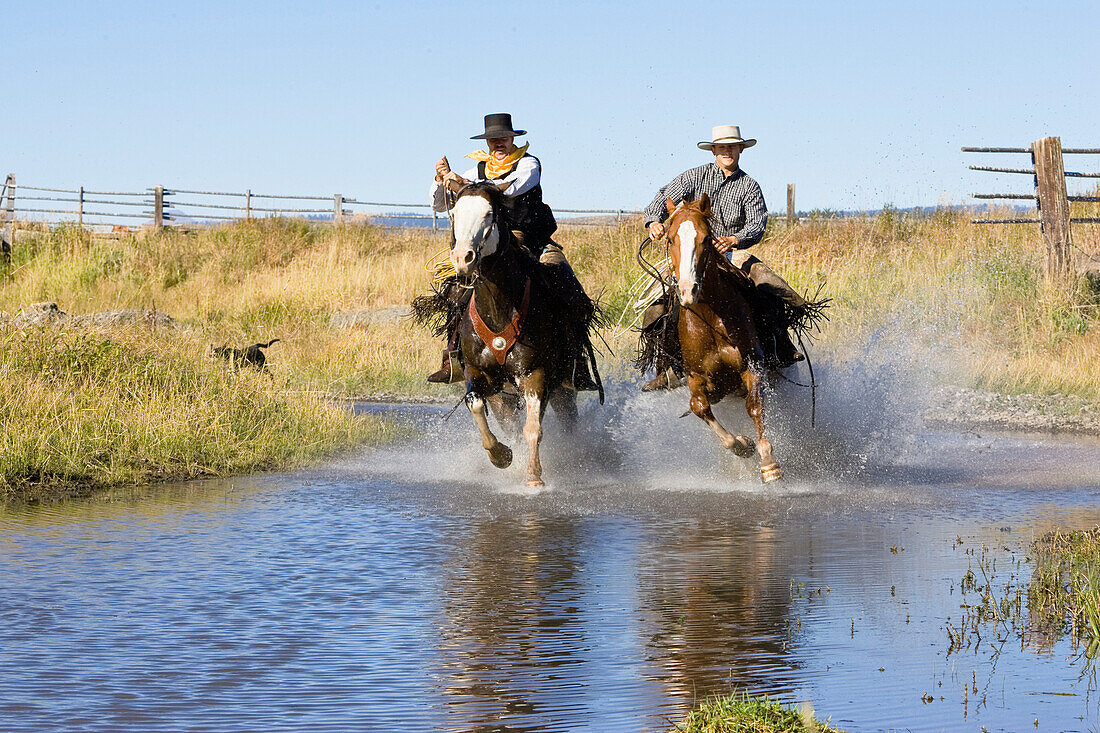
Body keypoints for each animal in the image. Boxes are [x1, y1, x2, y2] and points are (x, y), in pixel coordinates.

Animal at [413, 178, 602, 484]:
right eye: (455, 214)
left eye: (490, 214)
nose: (463, 258)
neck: (499, 310)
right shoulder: (478, 374)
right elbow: (477, 406)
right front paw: (501, 456)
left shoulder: (535, 374)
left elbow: (533, 428)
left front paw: (534, 477)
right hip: (504, 395)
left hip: (563, 388)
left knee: (567, 420)